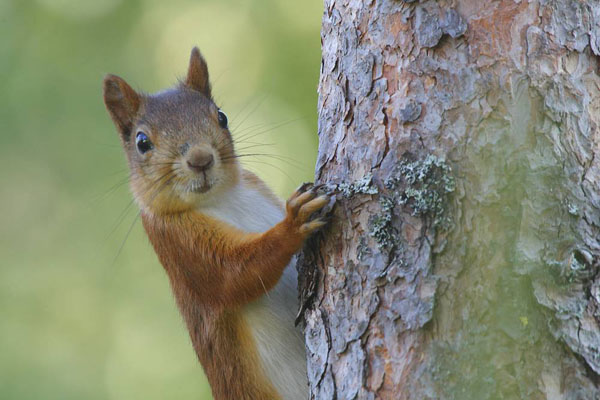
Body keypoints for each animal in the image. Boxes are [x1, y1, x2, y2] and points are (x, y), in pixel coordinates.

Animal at [101, 47, 330, 400]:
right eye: (142, 142)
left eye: (221, 117)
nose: (201, 159)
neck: (222, 198)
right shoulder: (177, 243)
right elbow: (233, 275)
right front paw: (293, 223)